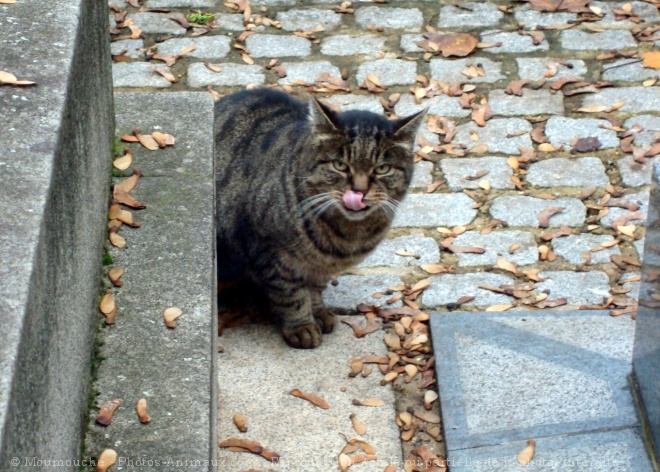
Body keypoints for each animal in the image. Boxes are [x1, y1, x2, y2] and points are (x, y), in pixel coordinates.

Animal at [214, 89, 426, 346]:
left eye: (382, 169)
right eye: (340, 165)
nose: (359, 191)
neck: (345, 234)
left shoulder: (321, 266)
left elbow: (314, 288)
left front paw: (318, 311)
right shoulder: (269, 253)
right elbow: (291, 294)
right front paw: (302, 326)